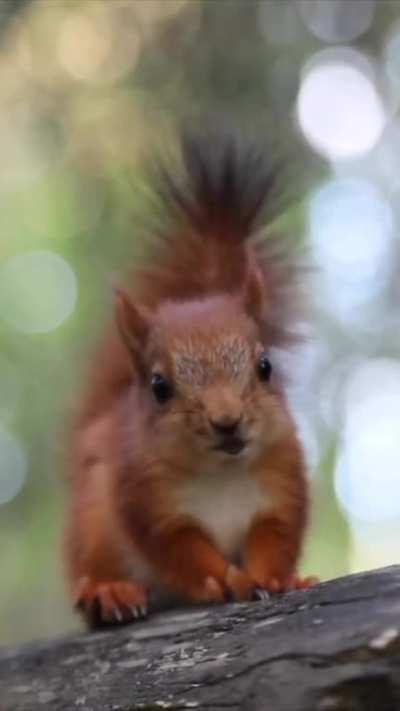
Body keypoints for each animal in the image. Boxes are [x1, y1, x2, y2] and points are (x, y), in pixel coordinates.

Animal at [64, 128, 317, 627]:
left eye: (265, 366)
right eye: (160, 388)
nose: (227, 421)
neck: (221, 474)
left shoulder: (281, 482)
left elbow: (274, 539)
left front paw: (278, 579)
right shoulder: (145, 501)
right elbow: (182, 553)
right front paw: (226, 581)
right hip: (94, 520)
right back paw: (108, 592)